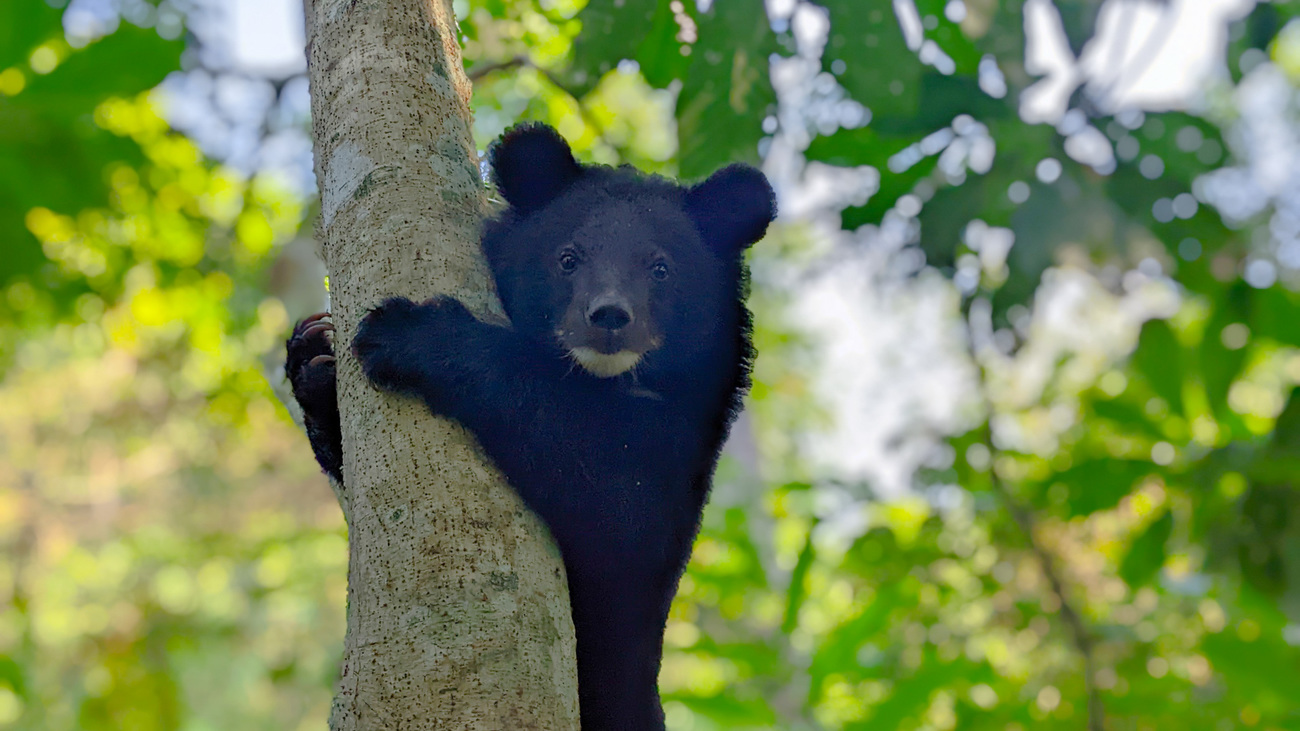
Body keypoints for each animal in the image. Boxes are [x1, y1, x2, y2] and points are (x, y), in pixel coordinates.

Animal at [284, 123, 769, 728]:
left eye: (661, 268)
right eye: (567, 258)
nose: (609, 317)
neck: (600, 381)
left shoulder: (680, 443)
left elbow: (615, 507)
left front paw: (409, 331)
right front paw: (315, 357)